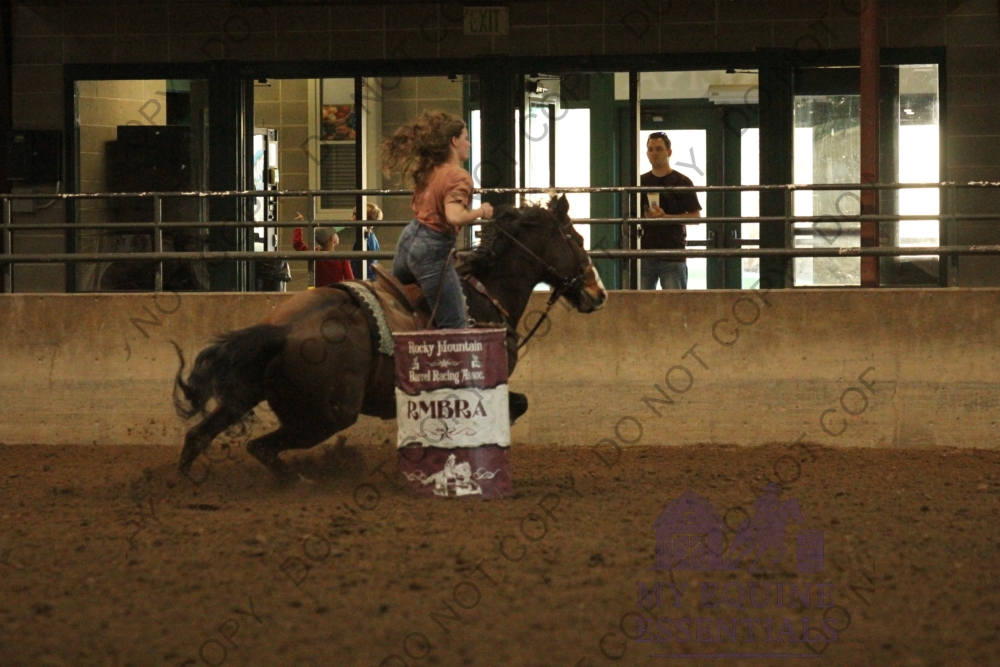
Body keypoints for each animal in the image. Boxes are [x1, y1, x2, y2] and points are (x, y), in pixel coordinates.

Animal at [172, 195, 608, 481]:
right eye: (577, 241)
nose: (598, 292)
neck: (485, 294)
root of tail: (281, 329)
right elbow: (512, 407)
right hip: (326, 416)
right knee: (259, 447)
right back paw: (299, 480)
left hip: (249, 393)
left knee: (197, 436)